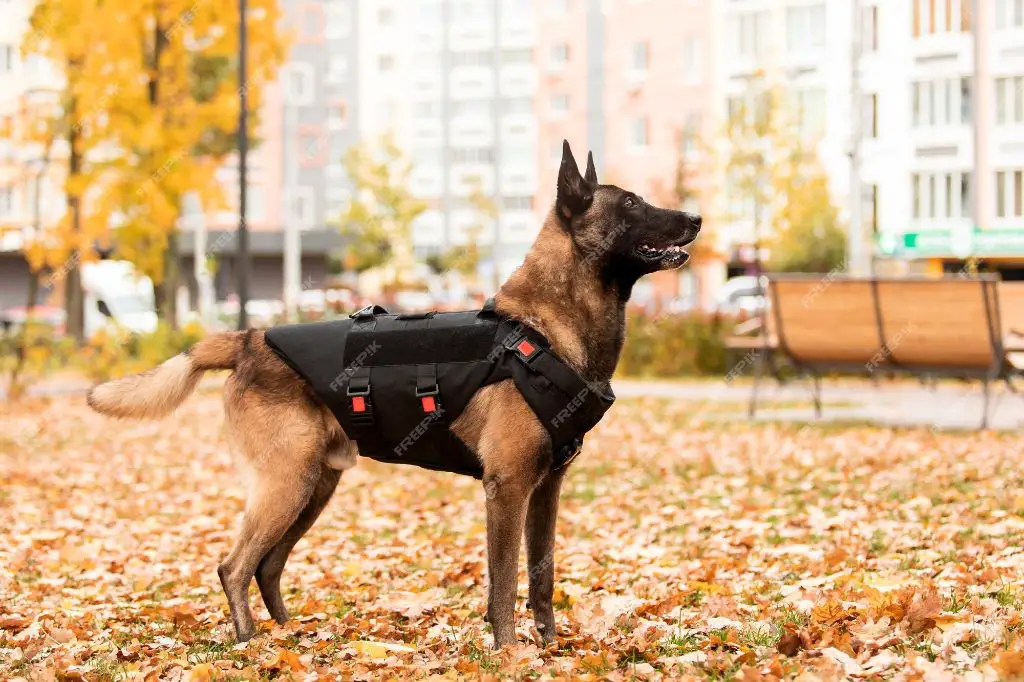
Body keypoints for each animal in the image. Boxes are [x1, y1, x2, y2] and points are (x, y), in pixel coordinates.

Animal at [86, 140, 704, 647]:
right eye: (630, 205)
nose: (696, 217)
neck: (542, 330)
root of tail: (251, 339)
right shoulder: (506, 489)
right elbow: (503, 585)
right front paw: (509, 653)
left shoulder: (545, 492)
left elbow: (542, 579)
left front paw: (550, 651)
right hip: (288, 483)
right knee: (235, 566)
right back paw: (249, 644)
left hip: (313, 487)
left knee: (267, 566)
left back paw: (291, 639)